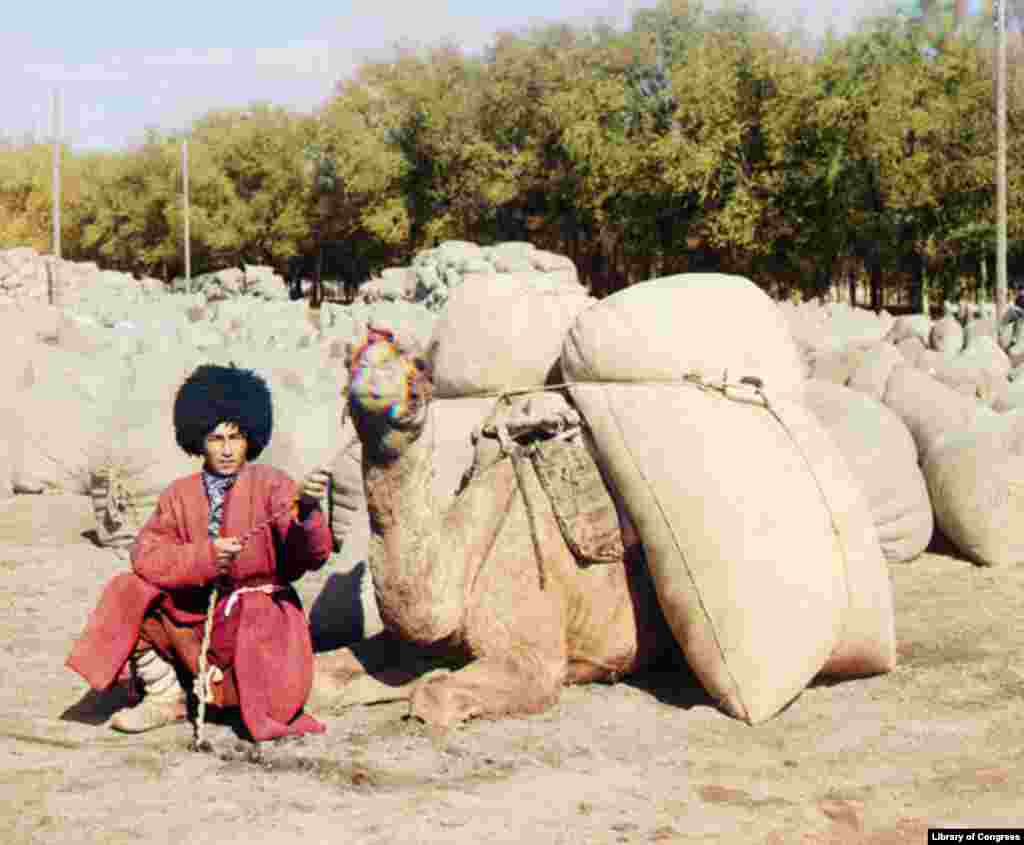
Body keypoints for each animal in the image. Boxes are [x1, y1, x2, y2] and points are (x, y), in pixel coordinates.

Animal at [315, 327, 675, 725]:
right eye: (350, 361)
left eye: (420, 367)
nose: (372, 383)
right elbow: (322, 673)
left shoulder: (532, 656)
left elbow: (433, 693)